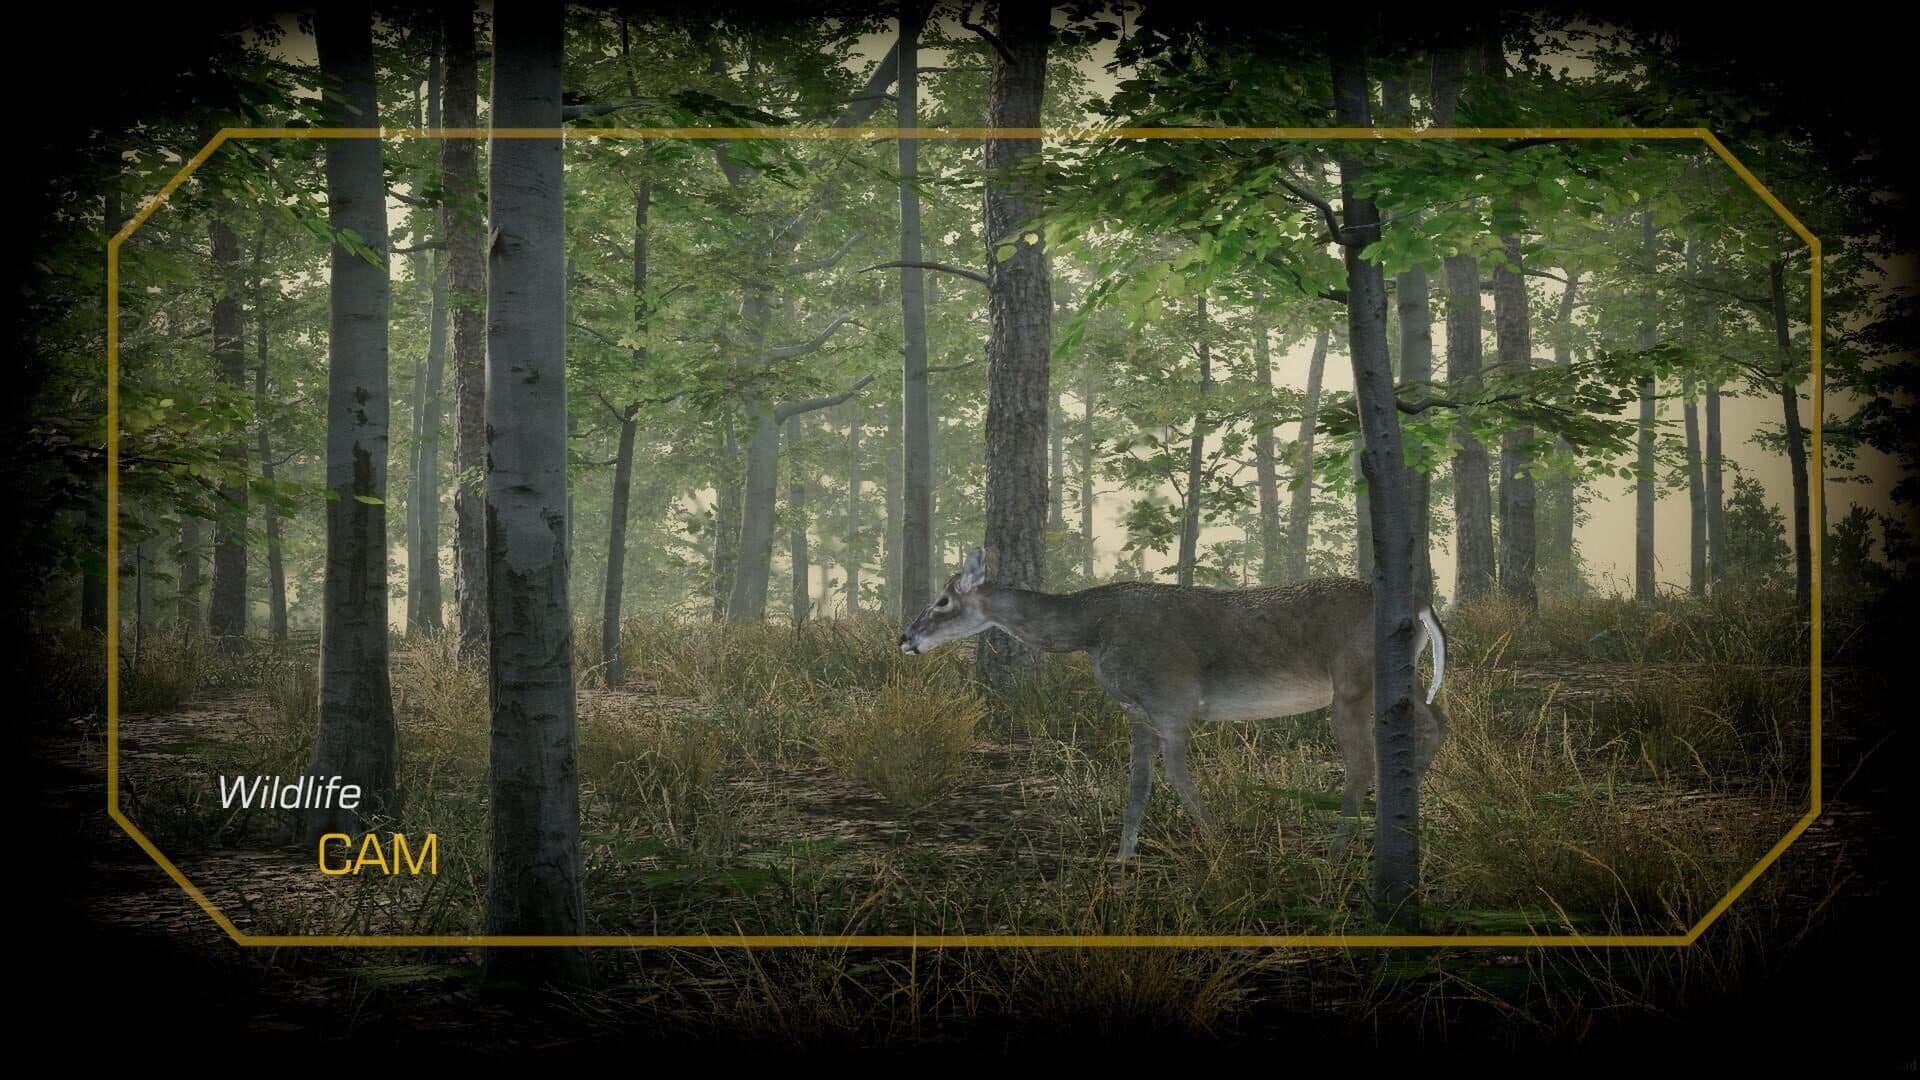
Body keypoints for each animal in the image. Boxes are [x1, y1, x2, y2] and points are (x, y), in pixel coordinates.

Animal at [899, 547, 1449, 862]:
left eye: (943, 601)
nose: (906, 638)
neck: (1090, 631)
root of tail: (1421, 606)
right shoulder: (1137, 712)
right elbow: (1138, 785)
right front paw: (1122, 859)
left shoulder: (1174, 702)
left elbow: (1178, 777)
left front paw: (1219, 846)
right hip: (1393, 680)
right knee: (1436, 721)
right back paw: (1396, 818)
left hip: (1353, 682)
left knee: (1361, 763)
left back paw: (1338, 851)